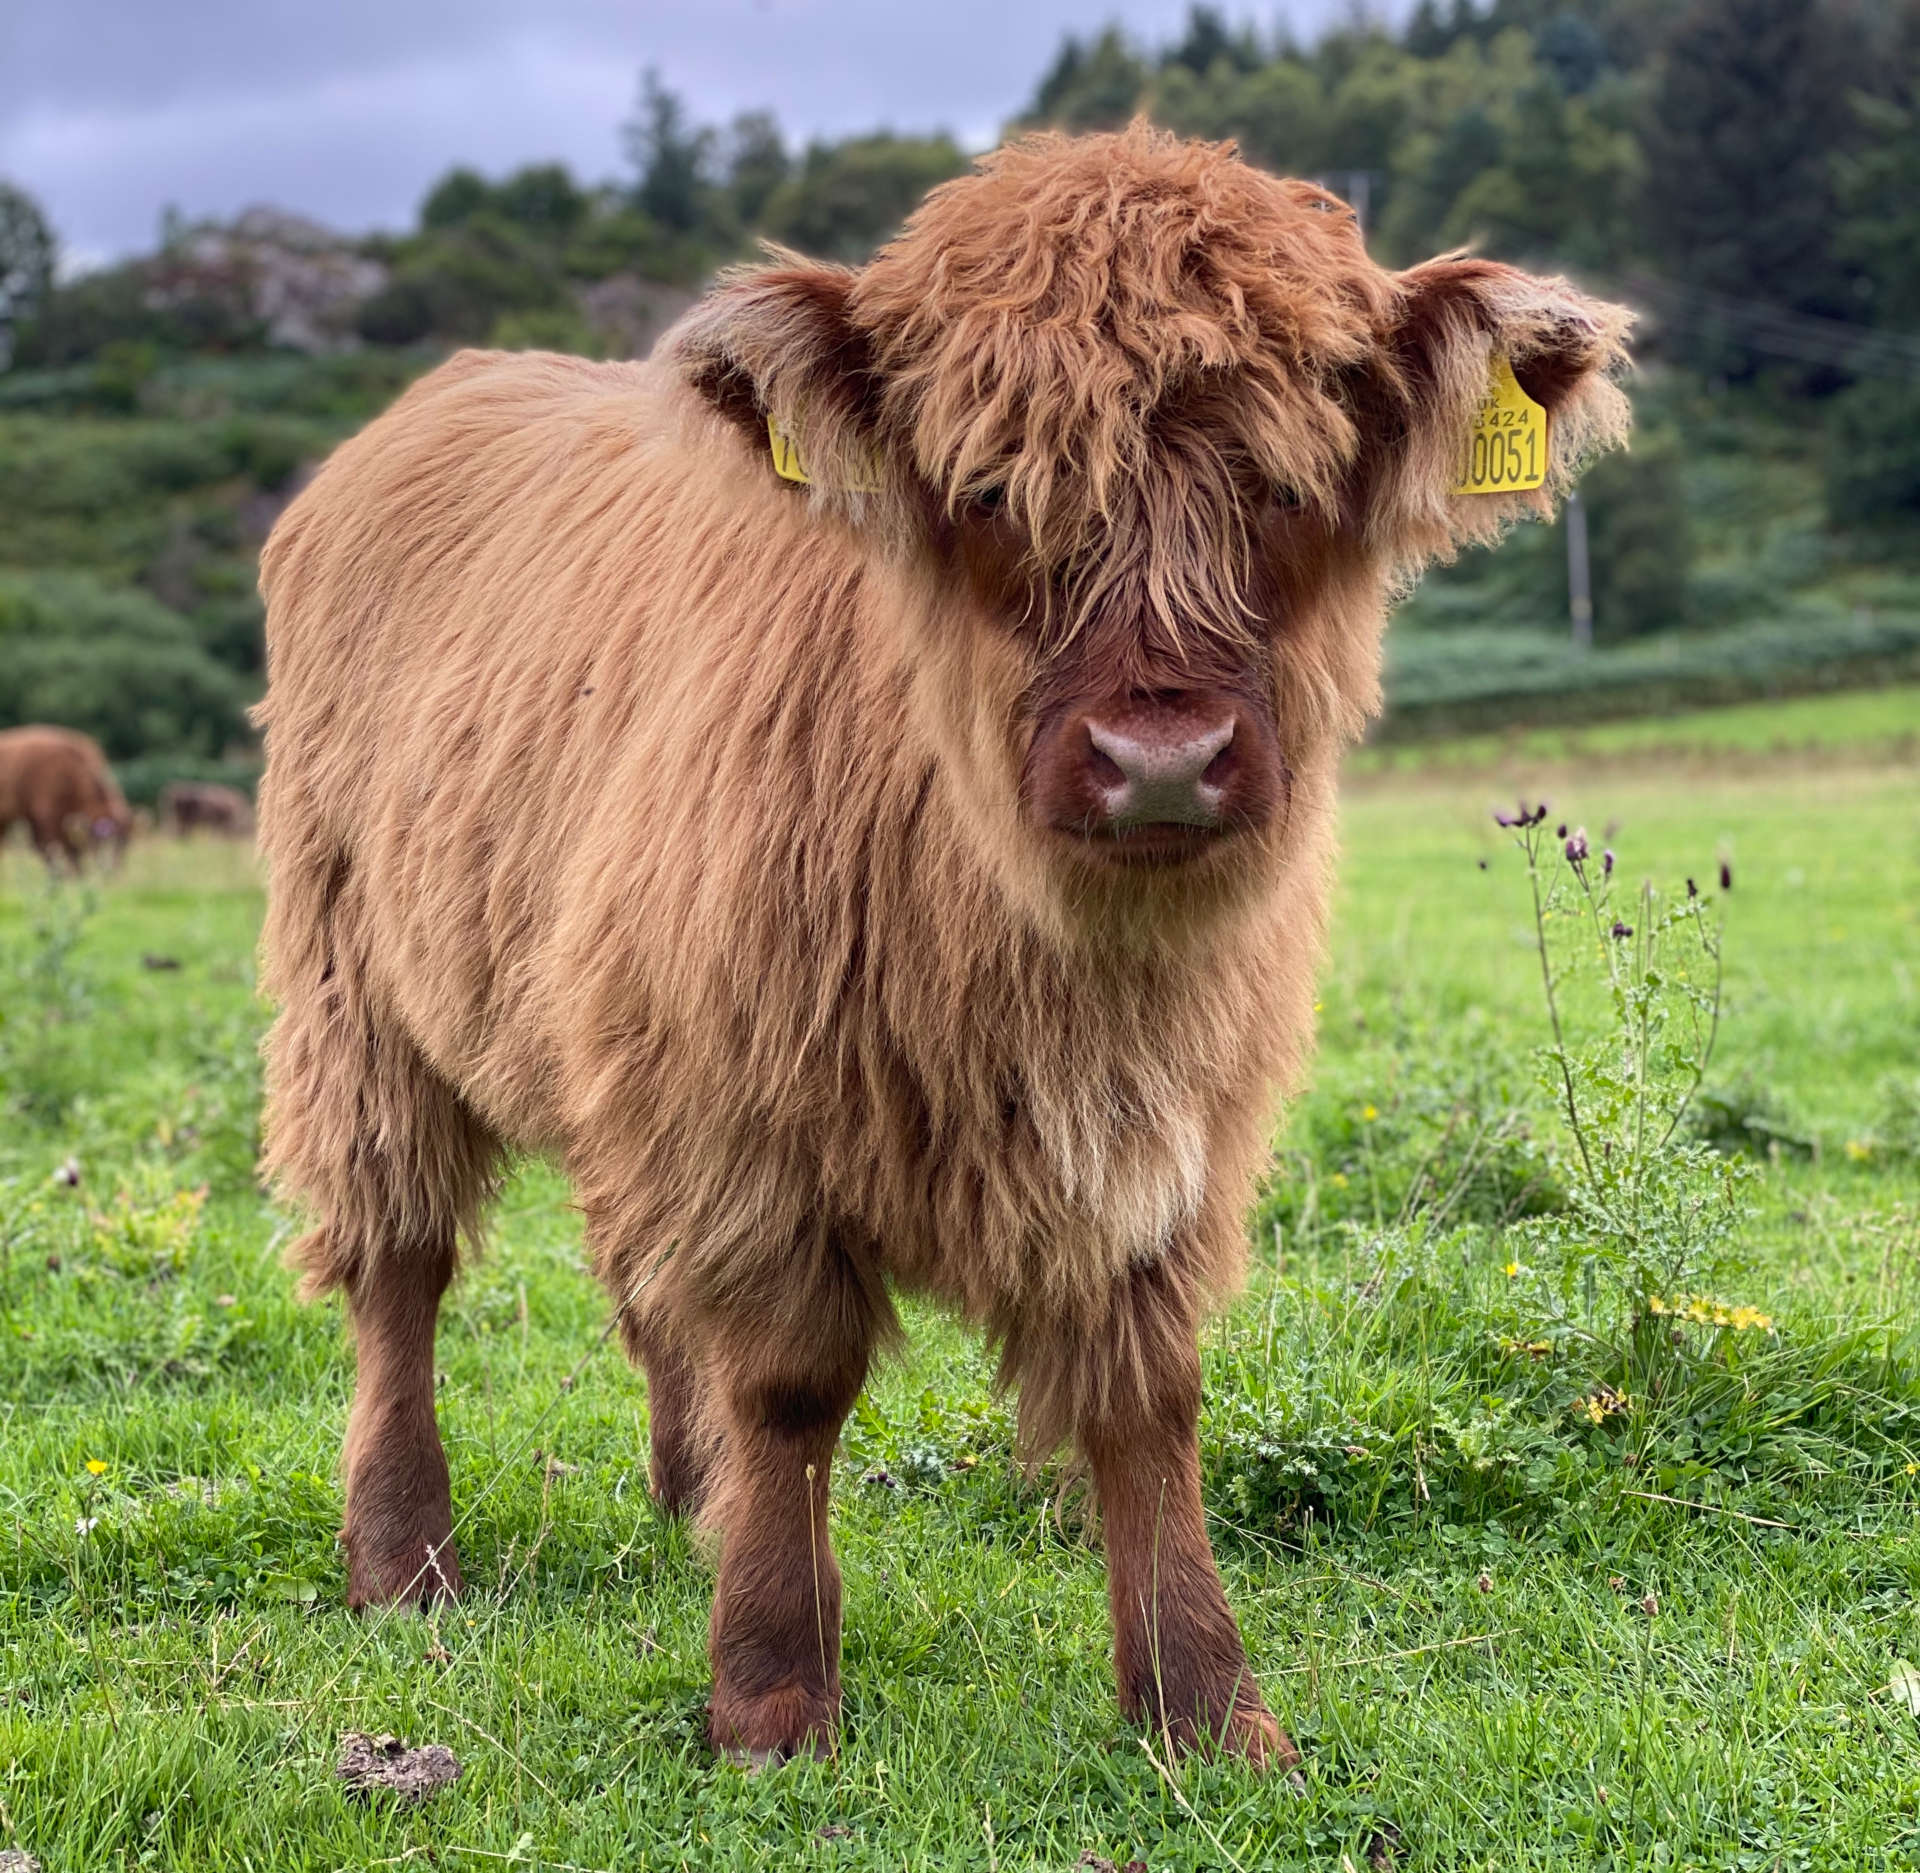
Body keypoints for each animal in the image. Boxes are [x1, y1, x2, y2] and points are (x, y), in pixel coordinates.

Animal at [255, 127, 1628, 1773]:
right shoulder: (739, 1107)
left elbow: (1149, 1396)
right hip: (348, 982)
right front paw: (771, 1695)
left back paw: (684, 1497)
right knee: (396, 1261)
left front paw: (1208, 1708)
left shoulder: (1169, 1130)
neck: (1046, 968)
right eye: (987, 488)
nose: (1158, 760)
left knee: (634, 1277)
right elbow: (791, 1384)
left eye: (1293, 483)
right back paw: (405, 1559)